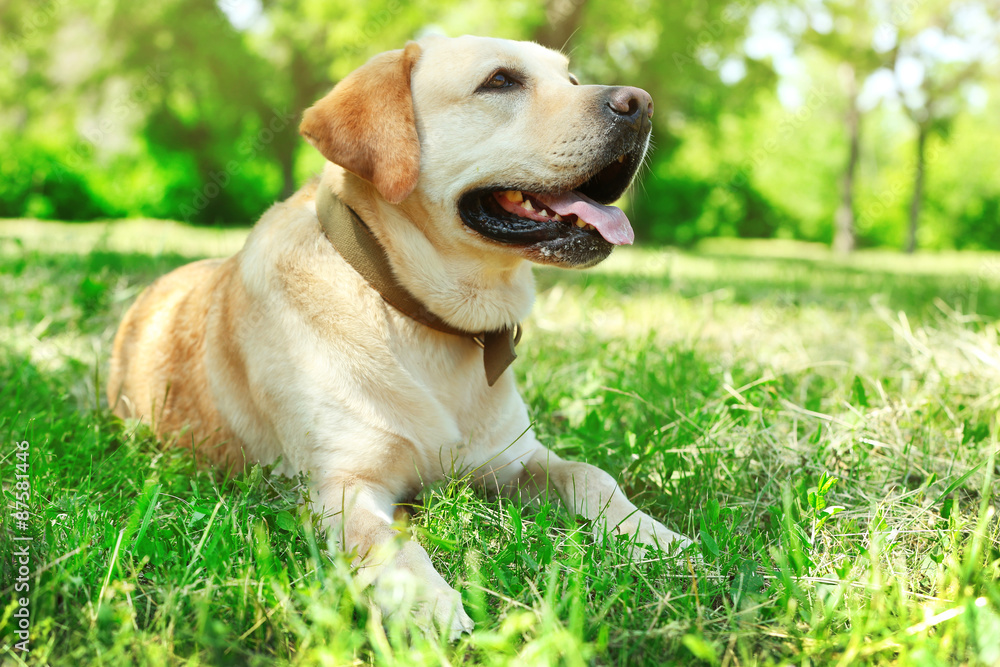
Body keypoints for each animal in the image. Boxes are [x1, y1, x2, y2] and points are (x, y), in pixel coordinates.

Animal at [107, 35, 688, 636]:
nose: (641, 104)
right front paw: (427, 601)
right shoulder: (341, 487)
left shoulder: (513, 459)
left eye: (571, 80)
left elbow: (591, 475)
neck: (418, 314)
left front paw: (656, 537)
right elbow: (388, 541)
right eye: (500, 81)